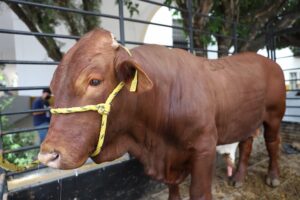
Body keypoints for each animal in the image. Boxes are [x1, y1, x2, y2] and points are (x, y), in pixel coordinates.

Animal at [38, 28, 284, 200]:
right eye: (53, 86)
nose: (48, 156)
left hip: (274, 115)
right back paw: (240, 178)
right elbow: (172, 188)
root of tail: (267, 61)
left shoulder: (204, 147)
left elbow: (199, 192)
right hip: (247, 120)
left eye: (94, 81)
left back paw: (273, 177)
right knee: (246, 144)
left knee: (272, 143)